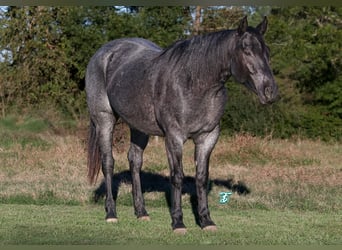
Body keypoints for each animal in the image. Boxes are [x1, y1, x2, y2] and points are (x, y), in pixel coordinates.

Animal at [85, 16, 278, 233]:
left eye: (267, 51)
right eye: (246, 50)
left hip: (139, 127)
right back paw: (111, 213)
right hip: (104, 120)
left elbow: (201, 177)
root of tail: (104, 52)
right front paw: (178, 222)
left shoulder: (208, 138)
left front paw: (206, 221)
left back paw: (141, 212)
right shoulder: (174, 137)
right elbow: (177, 176)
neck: (193, 83)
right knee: (108, 163)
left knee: (135, 161)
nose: (271, 92)